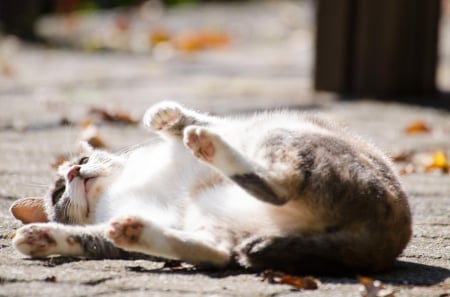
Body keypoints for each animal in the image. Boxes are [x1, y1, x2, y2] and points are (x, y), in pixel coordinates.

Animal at [9, 100, 412, 274]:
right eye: (58, 192)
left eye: (82, 158)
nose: (76, 171)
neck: (118, 190)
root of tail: (382, 238)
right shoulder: (108, 232)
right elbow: (84, 238)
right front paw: (40, 236)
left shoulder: (229, 126)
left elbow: (193, 120)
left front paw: (163, 116)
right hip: (209, 216)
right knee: (219, 250)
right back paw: (135, 229)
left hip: (280, 135)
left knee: (273, 182)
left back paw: (208, 146)